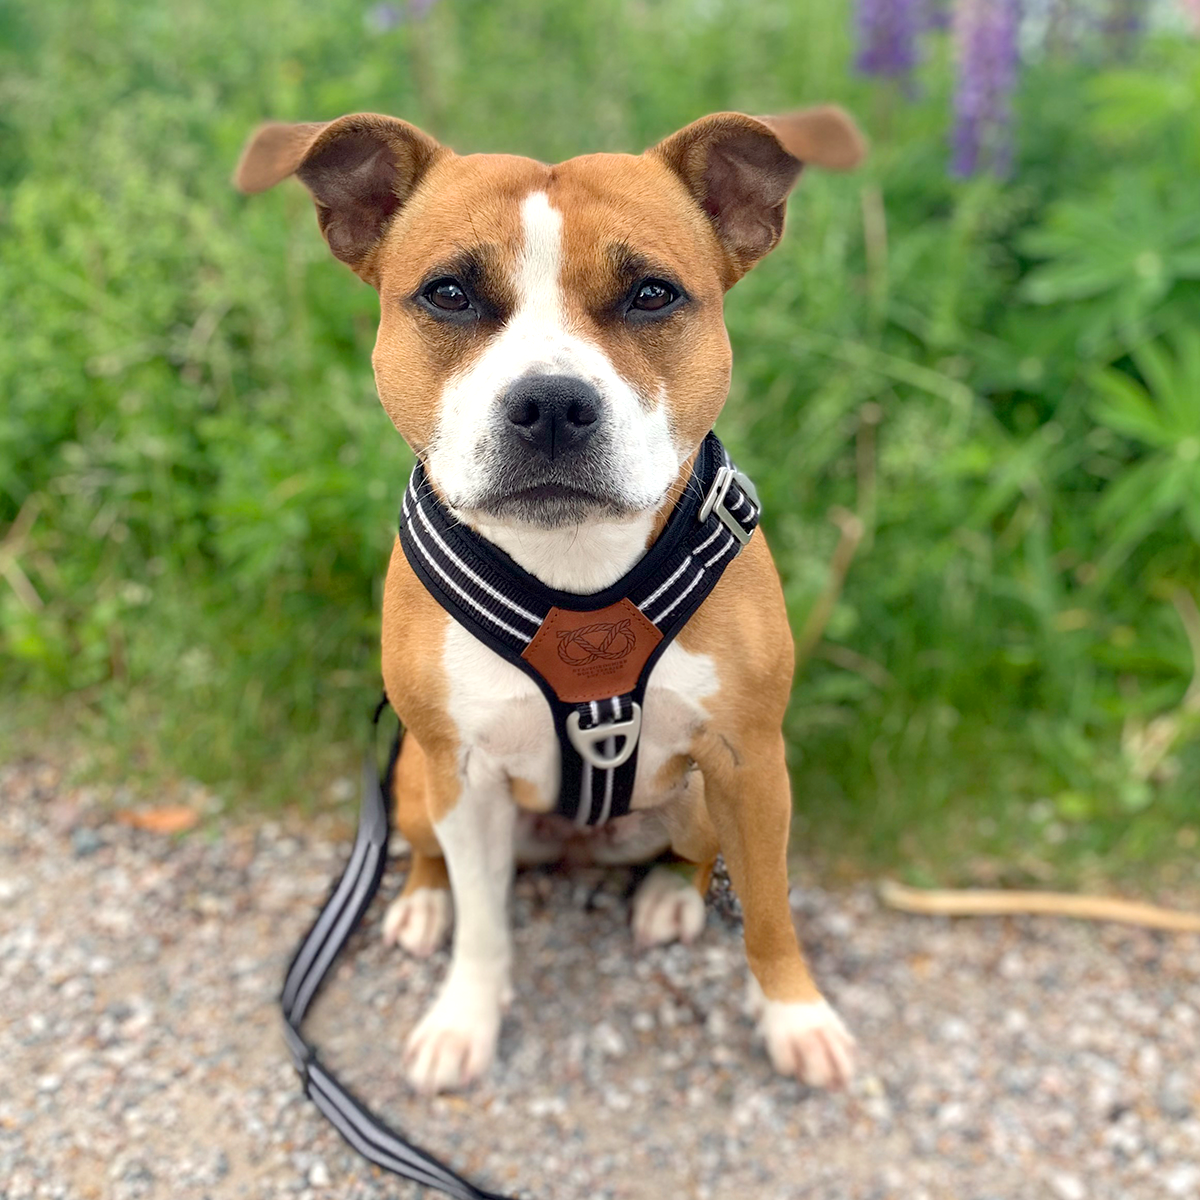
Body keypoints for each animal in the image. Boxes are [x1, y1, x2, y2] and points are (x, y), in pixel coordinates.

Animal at [238, 100, 868, 1099]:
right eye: (448, 294)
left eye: (651, 294)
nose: (551, 405)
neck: (576, 575)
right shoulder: (461, 770)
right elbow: (485, 925)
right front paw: (463, 1019)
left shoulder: (751, 761)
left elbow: (770, 909)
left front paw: (796, 1017)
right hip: (414, 782)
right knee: (437, 862)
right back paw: (423, 906)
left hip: (702, 795)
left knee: (696, 854)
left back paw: (667, 898)